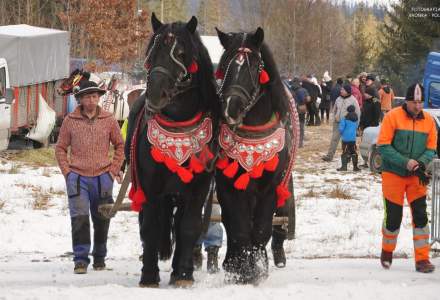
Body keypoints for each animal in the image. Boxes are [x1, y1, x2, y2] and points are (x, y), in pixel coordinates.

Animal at [125, 12, 218, 288]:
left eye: (181, 52)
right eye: (151, 51)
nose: (156, 93)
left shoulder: (198, 188)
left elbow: (188, 227)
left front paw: (183, 275)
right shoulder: (149, 185)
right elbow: (150, 228)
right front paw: (148, 276)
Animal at [214, 27, 300, 284]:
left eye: (254, 67)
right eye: (225, 63)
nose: (230, 107)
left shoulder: (270, 187)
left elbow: (261, 229)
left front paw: (258, 269)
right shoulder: (229, 185)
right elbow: (238, 228)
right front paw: (241, 269)